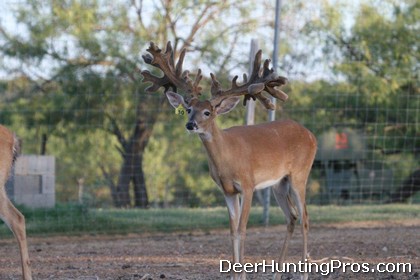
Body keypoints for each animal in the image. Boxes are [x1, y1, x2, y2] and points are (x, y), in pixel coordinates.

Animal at [141, 42, 316, 280]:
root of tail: (311, 135)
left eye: (208, 112)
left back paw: (304, 274)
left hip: (300, 174)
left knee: (305, 217)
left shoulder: (248, 184)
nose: (190, 125)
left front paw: (242, 274)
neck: (227, 158)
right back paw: (276, 274)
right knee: (292, 217)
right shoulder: (228, 190)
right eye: (188, 109)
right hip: (280, 183)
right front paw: (234, 274)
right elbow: (232, 231)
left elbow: (242, 230)